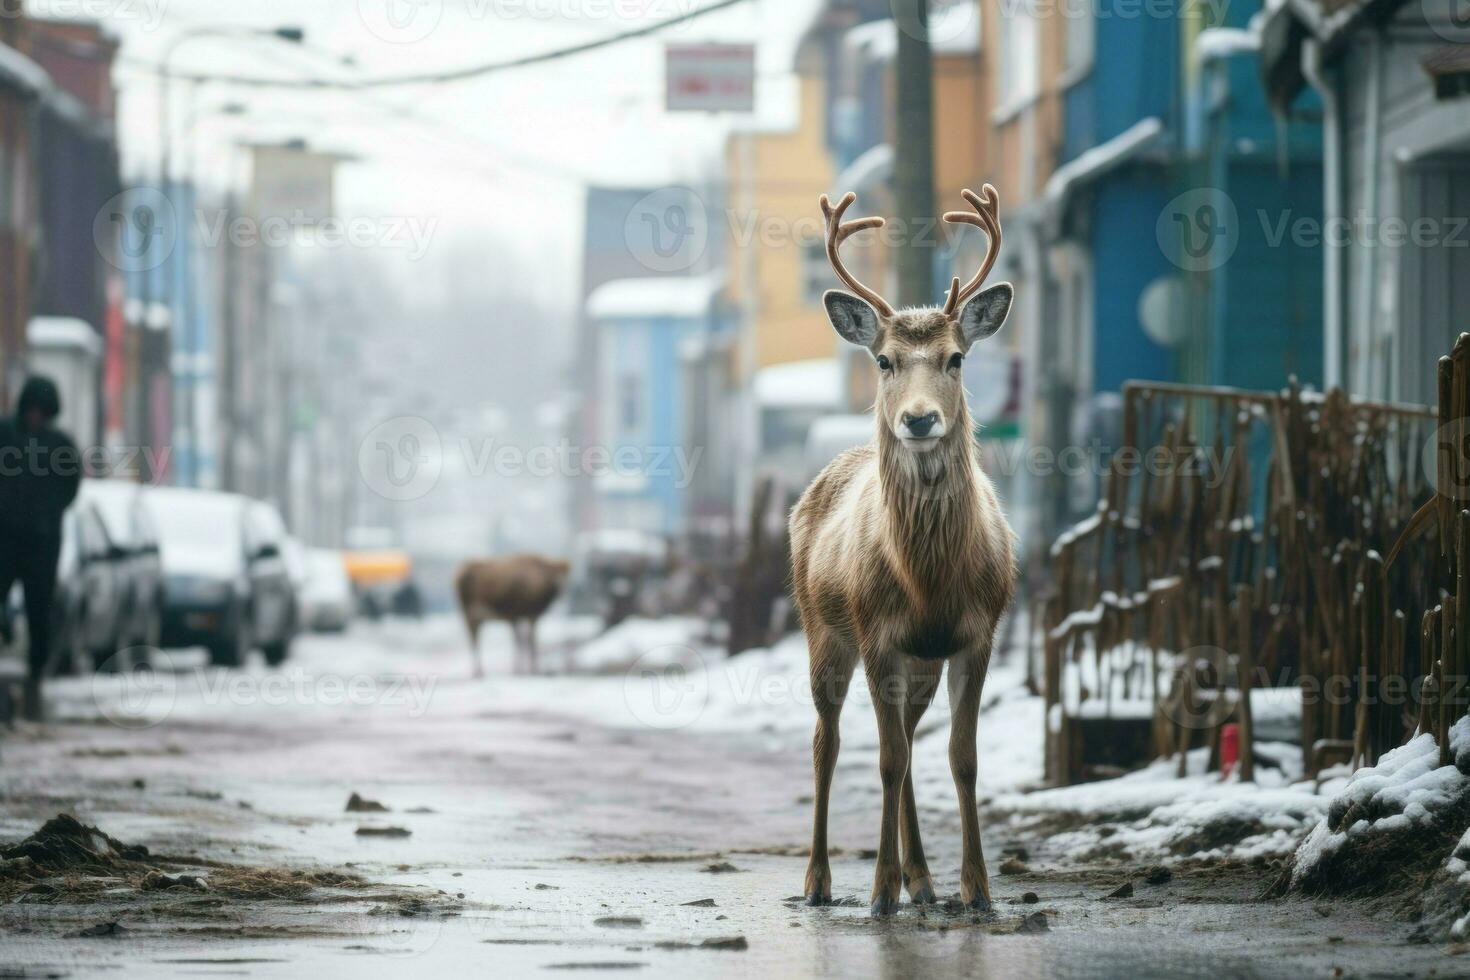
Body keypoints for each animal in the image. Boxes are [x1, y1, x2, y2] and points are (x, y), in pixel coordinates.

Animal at [793, 188, 1011, 916]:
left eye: (956, 358)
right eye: (884, 360)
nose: (918, 419)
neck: (928, 580)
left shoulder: (977, 633)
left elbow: (961, 759)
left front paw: (977, 889)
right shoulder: (875, 633)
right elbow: (885, 763)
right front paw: (879, 890)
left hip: (922, 662)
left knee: (913, 742)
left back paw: (925, 881)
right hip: (822, 628)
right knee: (828, 741)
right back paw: (820, 880)